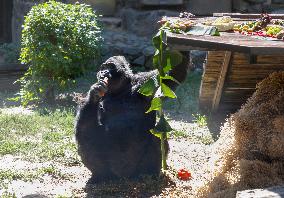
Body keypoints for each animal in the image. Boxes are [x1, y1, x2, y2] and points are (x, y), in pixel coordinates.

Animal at [75, 55, 189, 183]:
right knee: (85, 134)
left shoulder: (145, 81)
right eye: (103, 68)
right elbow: (86, 124)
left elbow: (172, 75)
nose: (103, 72)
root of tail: (123, 176)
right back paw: (100, 175)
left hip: (136, 169)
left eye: (110, 66)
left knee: (157, 136)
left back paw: (150, 173)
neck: (120, 90)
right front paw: (95, 93)